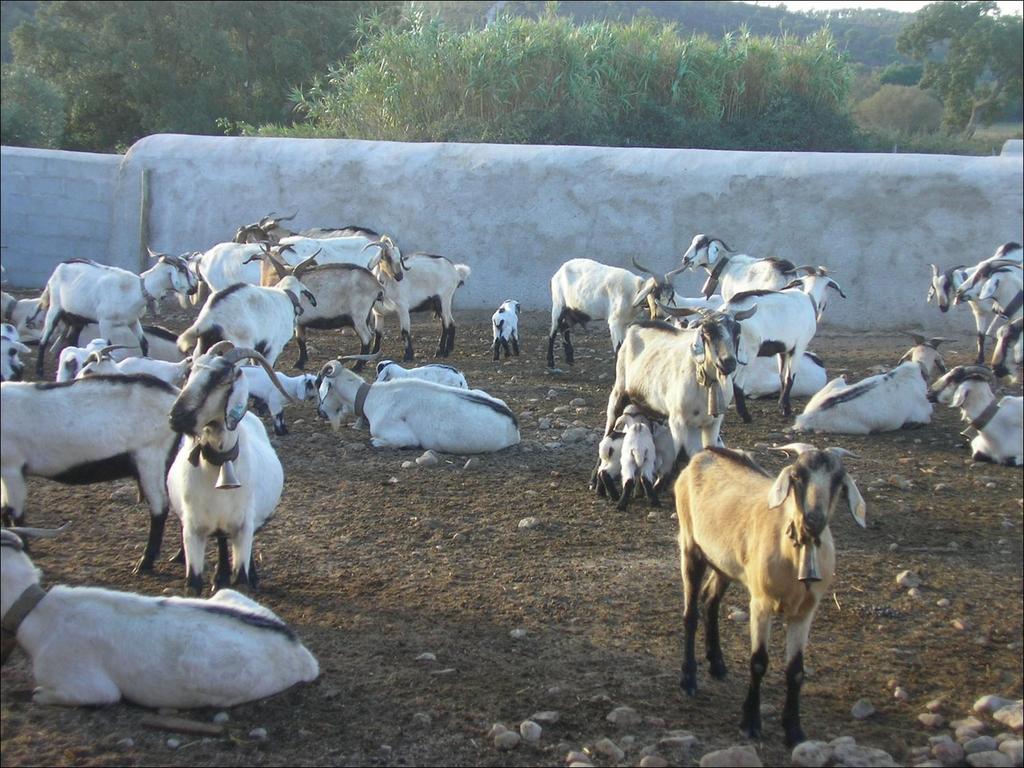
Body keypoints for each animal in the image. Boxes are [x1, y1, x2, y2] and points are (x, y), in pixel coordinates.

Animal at [0, 372, 182, 573]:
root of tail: (175, 394)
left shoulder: (12, 466)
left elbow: (14, 515)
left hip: (150, 458)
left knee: (160, 507)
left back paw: (145, 564)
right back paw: (179, 557)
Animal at [165, 344, 290, 593]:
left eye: (219, 378)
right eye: (190, 372)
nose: (176, 417)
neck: (218, 464)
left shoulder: (243, 526)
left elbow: (240, 579)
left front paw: (247, 580)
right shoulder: (193, 529)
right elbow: (193, 584)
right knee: (222, 540)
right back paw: (220, 576)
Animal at [315, 362, 520, 456]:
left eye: (323, 388)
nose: (320, 411)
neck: (373, 397)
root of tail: (514, 425)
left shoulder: (402, 436)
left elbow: (377, 441)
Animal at [675, 442, 868, 749]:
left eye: (838, 479)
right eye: (798, 476)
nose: (814, 520)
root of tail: (704, 454)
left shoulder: (805, 612)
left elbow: (796, 670)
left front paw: (794, 730)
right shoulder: (761, 603)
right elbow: (758, 662)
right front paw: (750, 722)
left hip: (725, 562)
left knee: (710, 600)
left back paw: (717, 664)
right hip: (691, 544)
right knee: (691, 613)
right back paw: (689, 678)